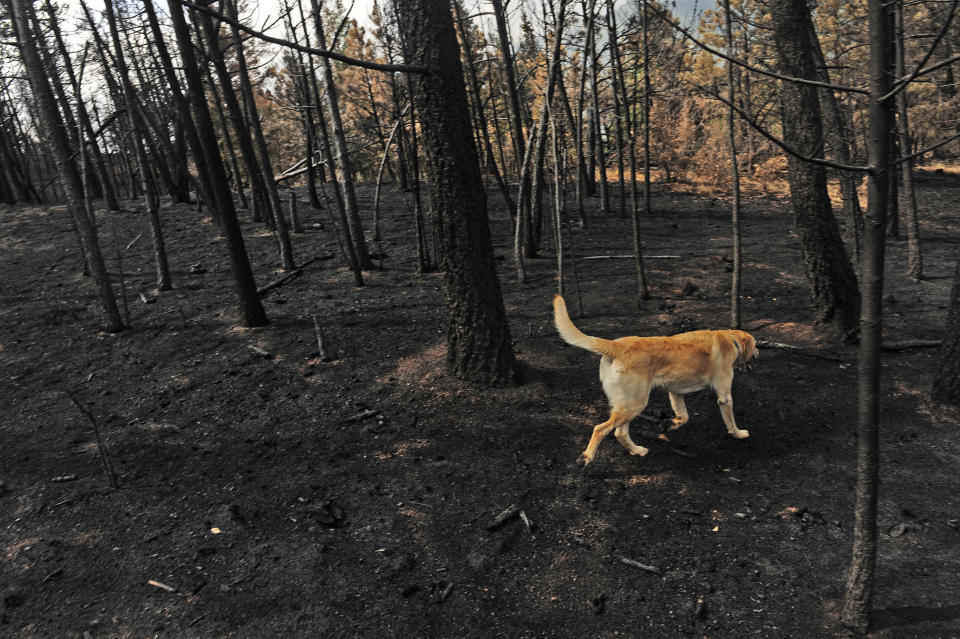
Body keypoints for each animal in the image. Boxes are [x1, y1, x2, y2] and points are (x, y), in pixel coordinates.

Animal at [556, 294, 756, 464]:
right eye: (755, 346)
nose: (759, 353)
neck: (731, 340)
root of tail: (616, 346)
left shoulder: (675, 393)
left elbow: (684, 417)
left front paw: (668, 425)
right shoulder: (724, 397)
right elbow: (730, 421)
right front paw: (738, 434)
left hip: (629, 406)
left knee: (620, 433)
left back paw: (637, 450)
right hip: (635, 404)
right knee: (600, 429)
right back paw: (586, 457)